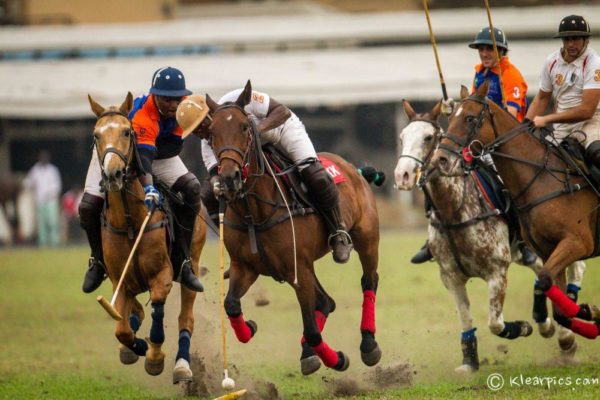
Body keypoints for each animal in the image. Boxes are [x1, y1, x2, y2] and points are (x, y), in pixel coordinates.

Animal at [86, 93, 207, 382]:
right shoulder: (120, 281)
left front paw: (153, 356)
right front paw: (135, 346)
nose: (113, 174)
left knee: (186, 317)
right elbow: (122, 328)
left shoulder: (162, 275)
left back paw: (182, 365)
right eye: (96, 135)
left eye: (127, 132)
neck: (131, 222)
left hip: (194, 260)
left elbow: (158, 313)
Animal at [204, 81, 382, 376]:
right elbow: (231, 304)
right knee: (326, 302)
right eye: (211, 133)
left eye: (244, 128)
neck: (255, 213)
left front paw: (336, 359)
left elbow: (311, 329)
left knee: (369, 281)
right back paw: (308, 352)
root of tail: (352, 168)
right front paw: (249, 328)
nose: (229, 178)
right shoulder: (247, 267)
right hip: (306, 266)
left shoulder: (297, 268)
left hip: (366, 238)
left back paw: (368, 344)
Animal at [432, 80, 596, 344]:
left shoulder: (578, 242)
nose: (441, 159)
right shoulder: (549, 250)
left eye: (469, 118)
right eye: (450, 117)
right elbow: (553, 296)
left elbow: (544, 283)